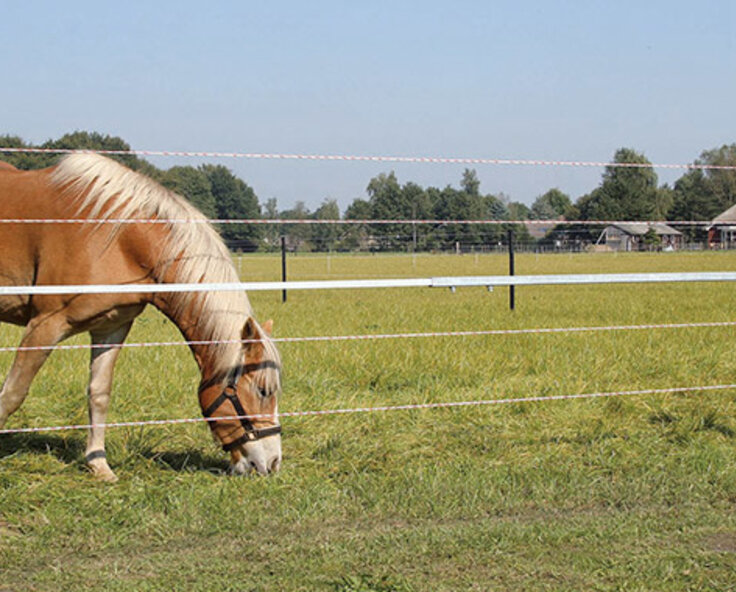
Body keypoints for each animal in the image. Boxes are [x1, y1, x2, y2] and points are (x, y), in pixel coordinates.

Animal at [0, 154, 282, 481]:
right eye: (263, 390)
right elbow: (13, 393)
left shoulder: (111, 327)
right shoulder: (45, 324)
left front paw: (99, 465)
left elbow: (99, 394)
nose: (273, 463)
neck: (119, 236)